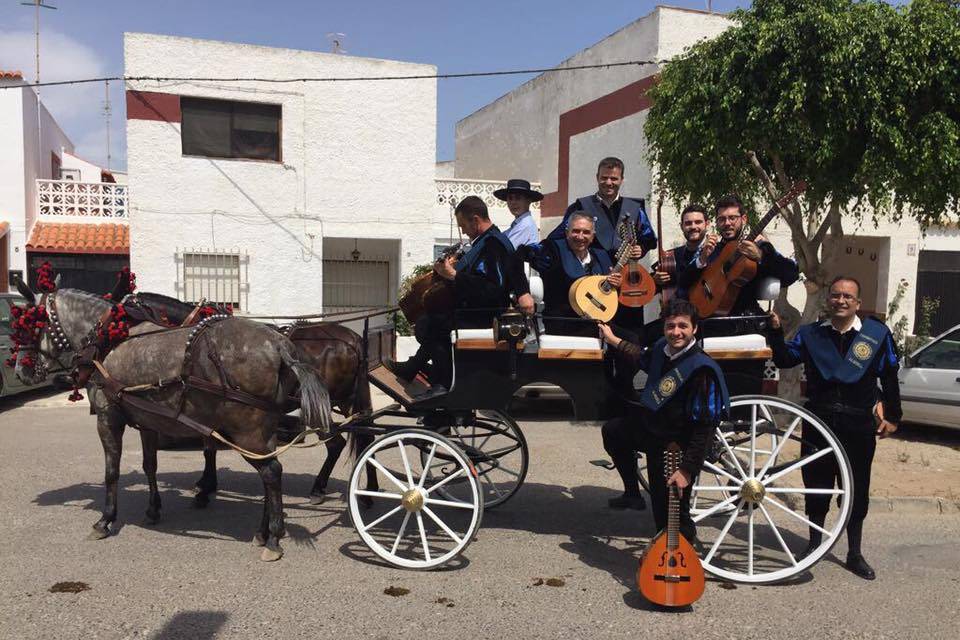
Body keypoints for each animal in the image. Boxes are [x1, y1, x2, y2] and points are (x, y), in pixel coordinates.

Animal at [10, 284, 334, 560]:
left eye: (29, 324)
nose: (20, 371)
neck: (107, 340)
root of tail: (279, 345)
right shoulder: (149, 420)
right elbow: (149, 466)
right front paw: (153, 509)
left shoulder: (108, 417)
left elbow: (112, 472)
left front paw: (105, 520)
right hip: (260, 431)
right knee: (270, 473)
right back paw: (263, 531)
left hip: (247, 431)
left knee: (272, 473)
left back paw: (274, 538)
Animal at [125, 292, 380, 508]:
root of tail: (353, 340)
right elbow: (210, 448)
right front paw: (207, 484)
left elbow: (209, 449)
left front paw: (205, 488)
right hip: (348, 402)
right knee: (366, 437)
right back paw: (369, 491)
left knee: (336, 443)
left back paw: (320, 489)